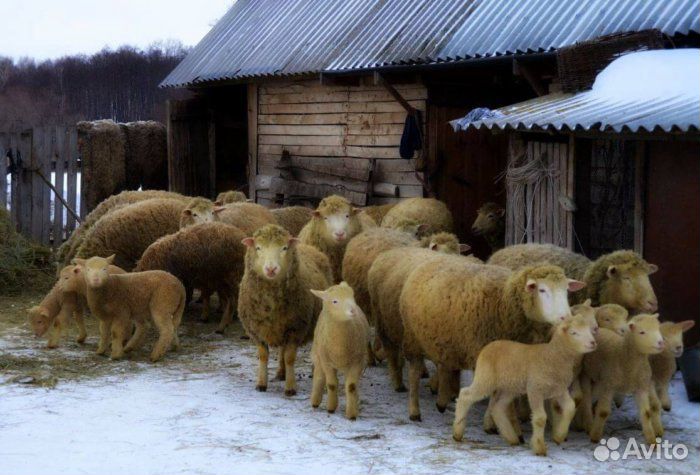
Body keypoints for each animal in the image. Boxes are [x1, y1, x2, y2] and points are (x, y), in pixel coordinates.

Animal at [237, 224, 333, 396]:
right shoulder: (257, 330)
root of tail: (308, 246)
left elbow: (289, 358)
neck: (271, 305)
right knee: (281, 349)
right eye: (258, 248)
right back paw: (281, 373)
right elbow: (263, 356)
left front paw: (290, 387)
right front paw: (261, 384)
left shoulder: (296, 328)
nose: (271, 269)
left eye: (284, 248)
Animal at [310, 282, 370, 420]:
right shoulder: (326, 362)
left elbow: (351, 386)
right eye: (335, 301)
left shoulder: (357, 362)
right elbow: (331, 384)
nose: (353, 310)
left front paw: (352, 413)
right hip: (318, 355)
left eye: (352, 296)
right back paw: (315, 401)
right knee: (319, 376)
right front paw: (331, 408)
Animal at [400, 260, 585, 421]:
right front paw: (493, 423)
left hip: (445, 340)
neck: (504, 301)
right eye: (542, 290)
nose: (566, 318)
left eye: (566, 290)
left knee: (444, 366)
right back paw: (414, 411)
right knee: (414, 373)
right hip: (412, 340)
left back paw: (441, 403)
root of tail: (425, 265)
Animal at [453, 314, 597, 455]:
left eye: (590, 330)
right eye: (574, 332)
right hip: (485, 378)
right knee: (465, 395)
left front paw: (559, 436)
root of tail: (490, 345)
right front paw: (539, 448)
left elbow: (570, 408)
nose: (593, 343)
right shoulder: (535, 389)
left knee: (498, 407)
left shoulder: (559, 389)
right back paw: (457, 433)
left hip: (509, 388)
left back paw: (512, 438)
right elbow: (540, 418)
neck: (553, 356)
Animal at [579, 314, 665, 444]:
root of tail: (599, 329)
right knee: (586, 398)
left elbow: (646, 413)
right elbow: (603, 412)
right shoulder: (609, 386)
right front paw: (595, 436)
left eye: (658, 328)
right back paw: (589, 424)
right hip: (586, 374)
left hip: (601, 380)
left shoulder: (641, 387)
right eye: (642, 332)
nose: (660, 342)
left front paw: (652, 441)